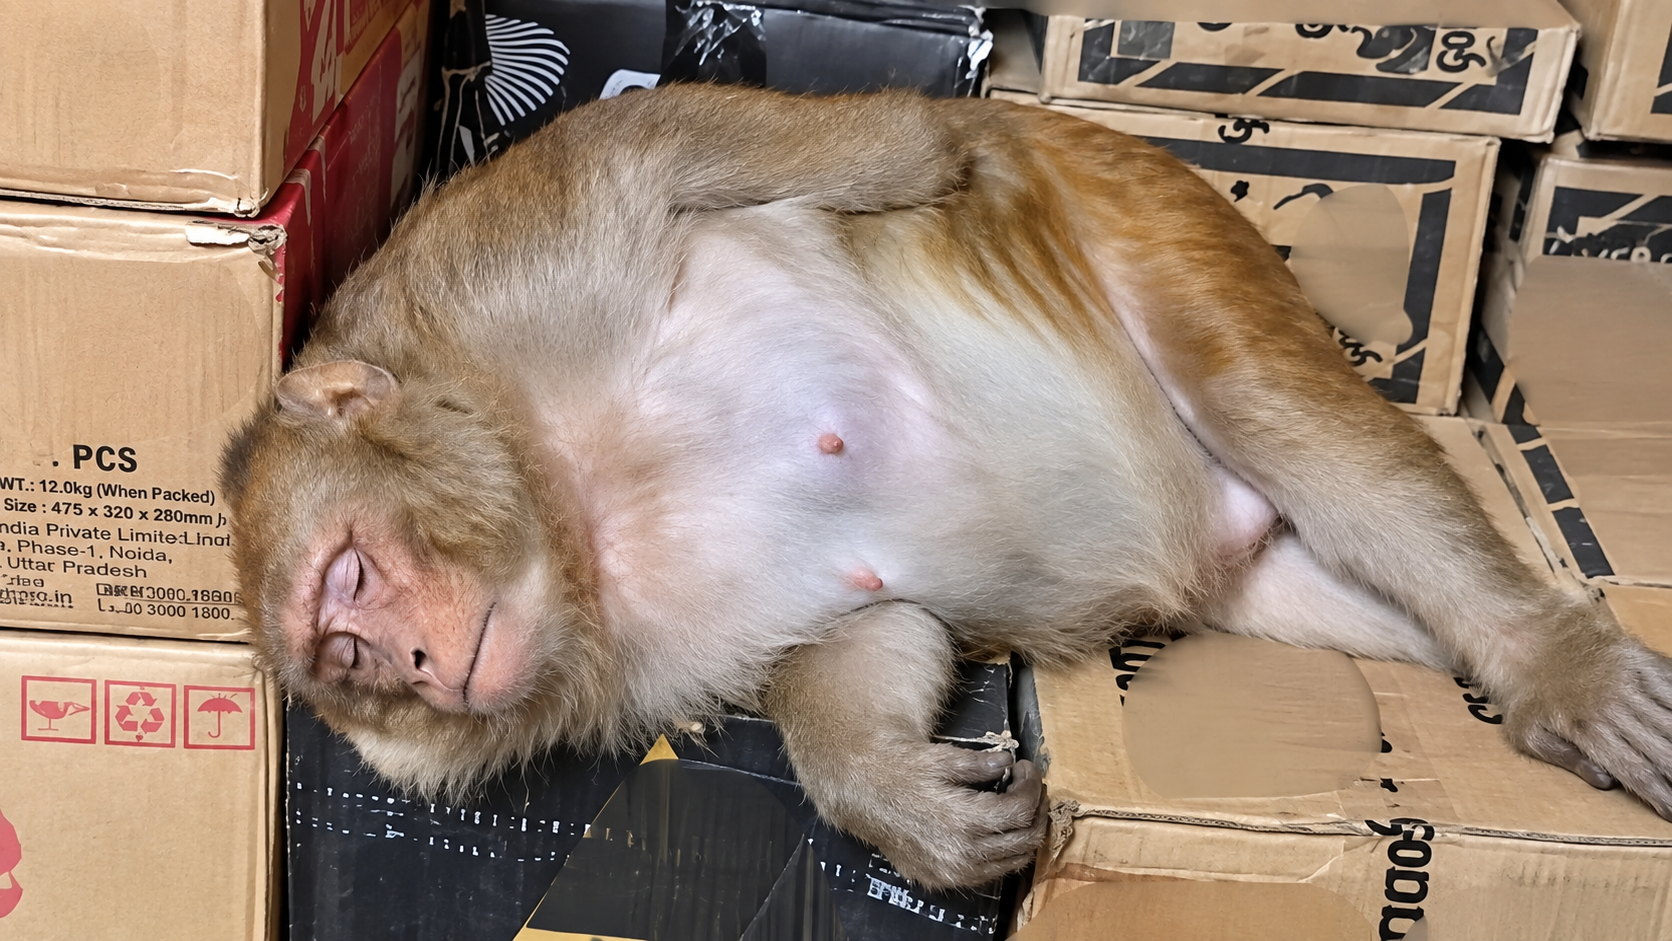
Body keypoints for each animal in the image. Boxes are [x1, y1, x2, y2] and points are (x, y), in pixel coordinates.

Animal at [220, 84, 1672, 891]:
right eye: (346, 663)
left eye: (350, 577)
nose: (409, 659)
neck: (570, 497)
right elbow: (867, 623)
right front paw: (893, 795)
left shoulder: (532, 238)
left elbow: (892, 140)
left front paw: (952, 141)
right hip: (1252, 563)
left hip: (1166, 228)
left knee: (1276, 413)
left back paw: (1550, 661)